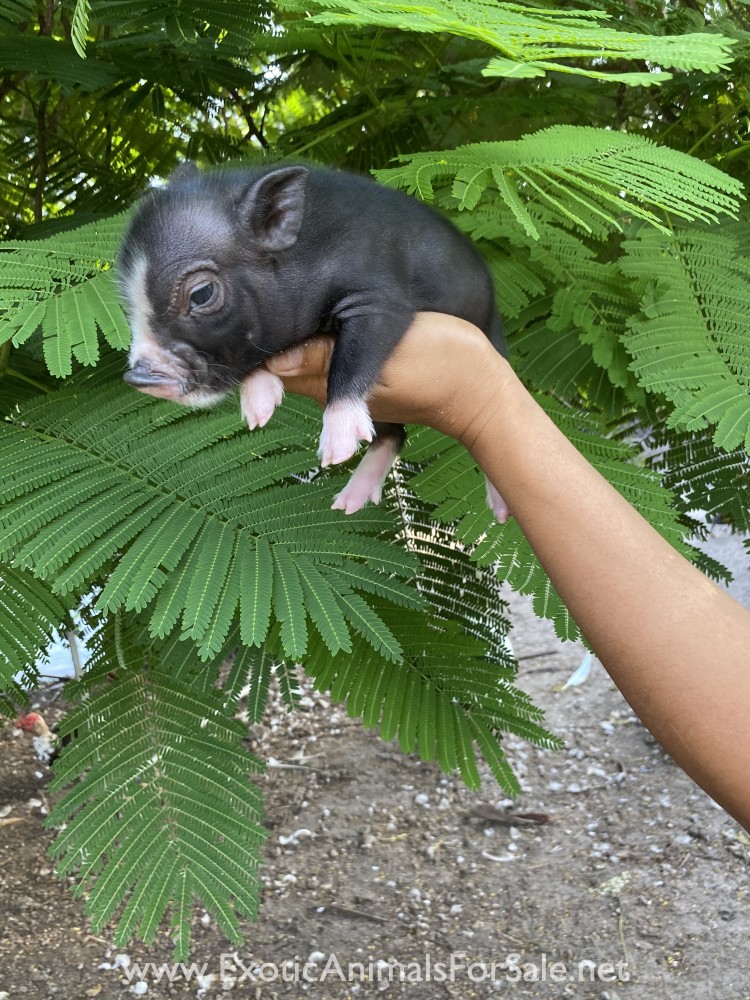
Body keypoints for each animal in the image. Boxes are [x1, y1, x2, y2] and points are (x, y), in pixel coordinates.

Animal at [119, 161, 509, 519]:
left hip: (493, 337)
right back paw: (347, 504)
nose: (136, 377)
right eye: (126, 305)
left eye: (201, 294)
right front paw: (258, 414)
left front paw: (335, 452)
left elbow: (352, 357)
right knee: (394, 434)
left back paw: (500, 511)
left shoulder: (377, 299)